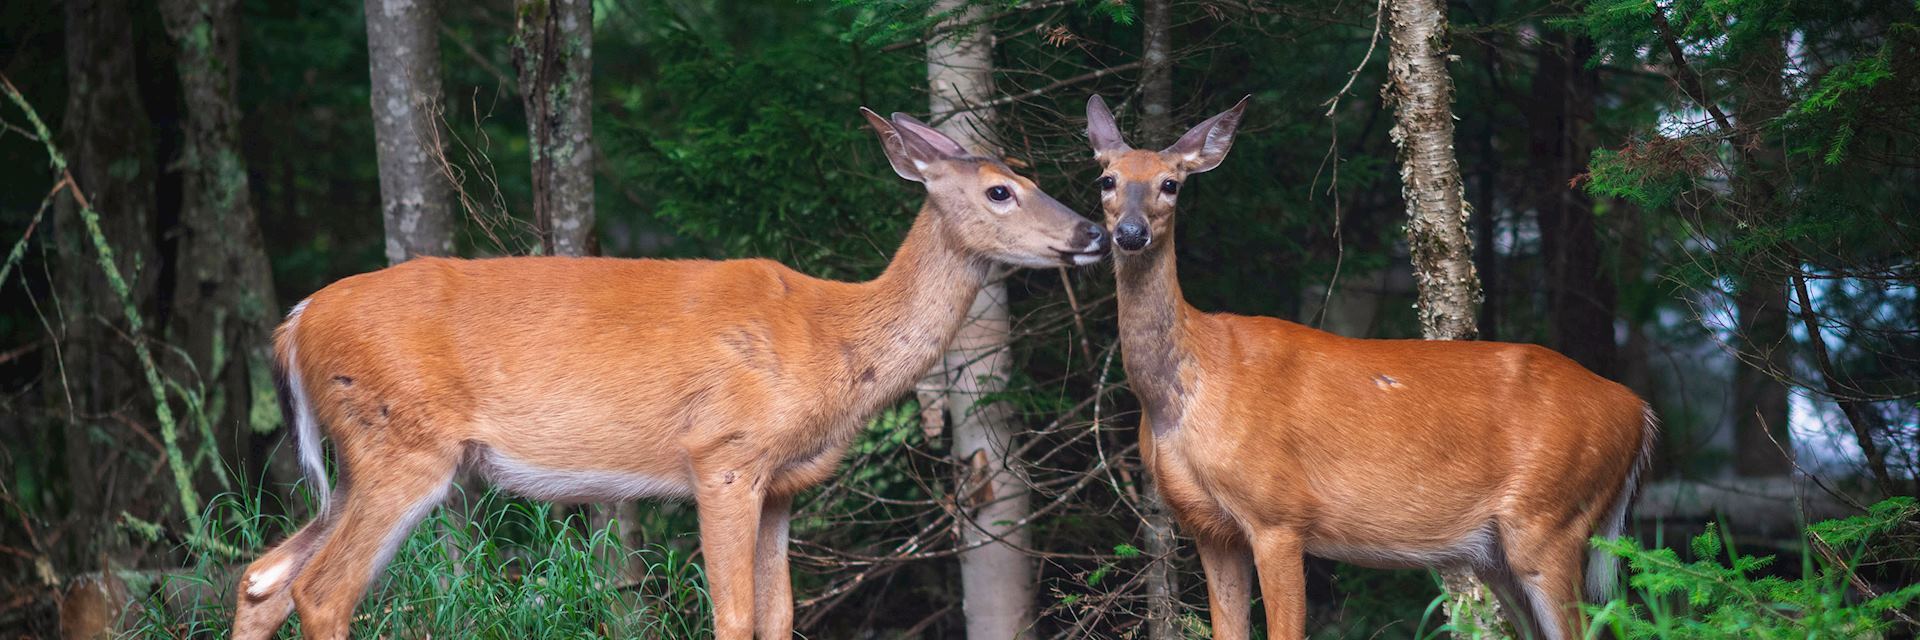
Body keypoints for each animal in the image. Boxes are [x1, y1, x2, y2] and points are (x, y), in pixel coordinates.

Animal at [234, 109, 1113, 638]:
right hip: (402, 443)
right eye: (1000, 191)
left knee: (263, 577)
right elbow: (734, 619)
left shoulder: (783, 483)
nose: (1096, 232)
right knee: (323, 589)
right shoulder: (722, 452)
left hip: (363, 458)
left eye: (1035, 179)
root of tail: (297, 321)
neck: (831, 339)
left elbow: (778, 620)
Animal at [1090, 96, 1658, 638]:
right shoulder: (1209, 528)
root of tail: (1638, 410)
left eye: (1170, 184)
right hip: (1498, 550)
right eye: (1106, 179)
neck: (1187, 389)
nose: (1131, 233)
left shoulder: (1279, 514)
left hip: (1552, 518)